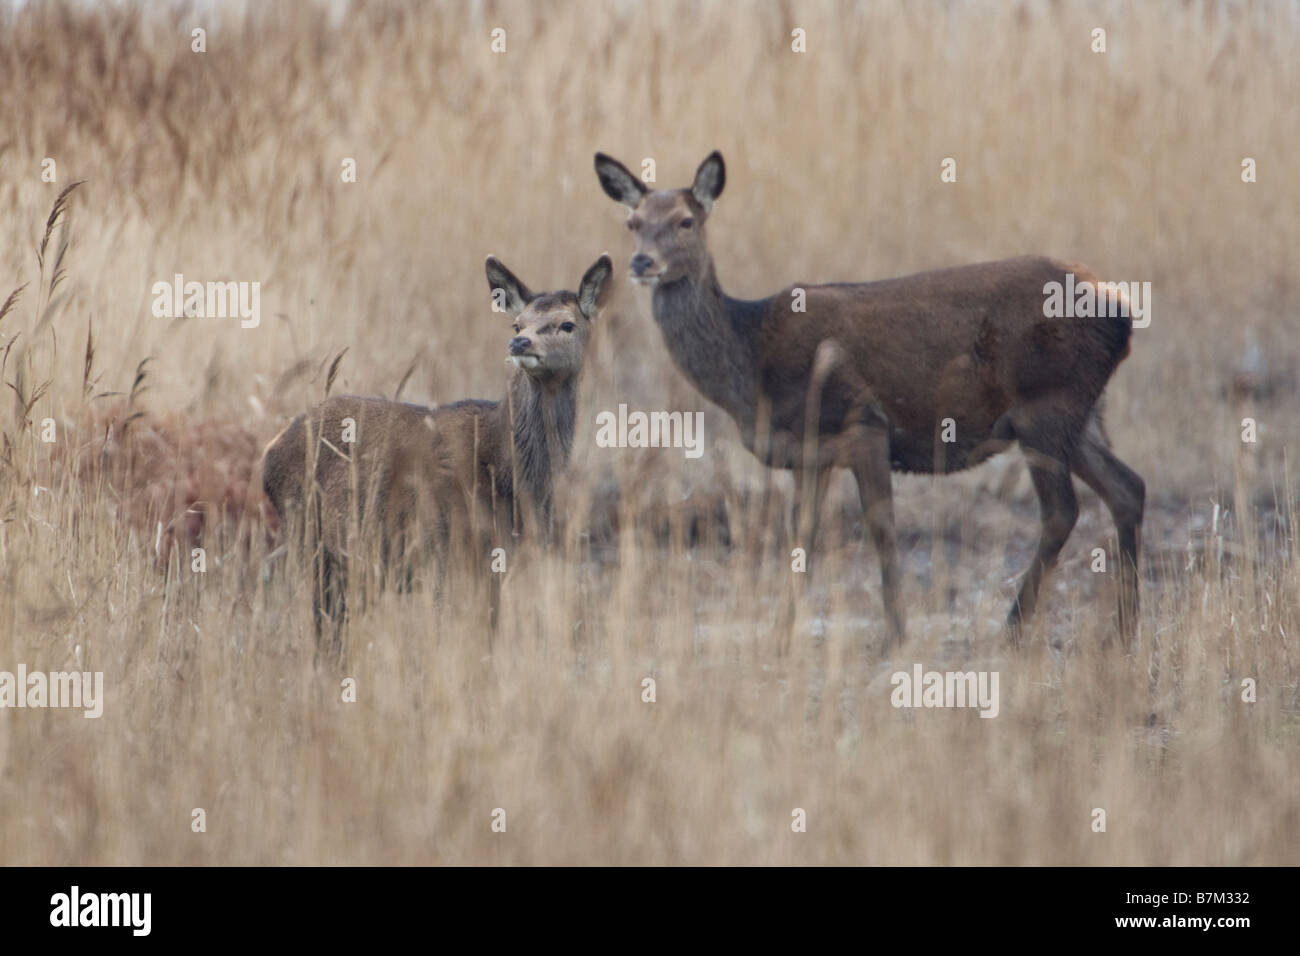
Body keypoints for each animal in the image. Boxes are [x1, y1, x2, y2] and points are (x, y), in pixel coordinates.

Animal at [261, 254, 613, 653]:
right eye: (517, 322)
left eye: (567, 324)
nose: (520, 342)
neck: (508, 472)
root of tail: (269, 454)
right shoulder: (444, 548)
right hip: (319, 541)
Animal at [594, 150, 1145, 653]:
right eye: (633, 223)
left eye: (685, 221)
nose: (641, 262)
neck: (751, 367)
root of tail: (1122, 311)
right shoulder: (809, 455)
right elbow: (801, 537)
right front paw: (780, 635)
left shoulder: (862, 422)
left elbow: (881, 527)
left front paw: (896, 633)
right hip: (1079, 414)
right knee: (1128, 488)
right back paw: (1123, 628)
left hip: (1045, 403)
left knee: (1063, 510)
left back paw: (1012, 628)